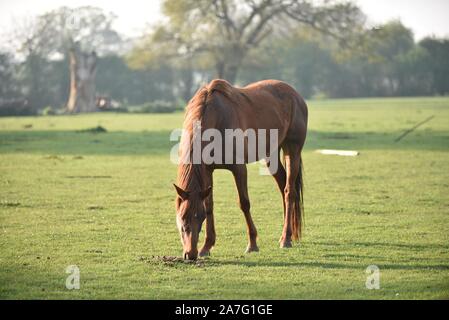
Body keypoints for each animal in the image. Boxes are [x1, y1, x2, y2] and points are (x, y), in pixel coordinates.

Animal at [173, 78, 306, 260]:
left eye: (199, 218)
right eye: (182, 217)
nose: (190, 253)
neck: (216, 118)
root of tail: (296, 95)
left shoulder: (239, 168)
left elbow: (244, 203)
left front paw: (252, 244)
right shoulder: (207, 171)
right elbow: (209, 204)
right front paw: (206, 247)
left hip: (292, 149)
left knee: (289, 191)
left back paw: (285, 238)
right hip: (271, 154)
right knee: (282, 185)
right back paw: (288, 234)